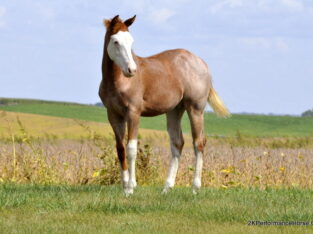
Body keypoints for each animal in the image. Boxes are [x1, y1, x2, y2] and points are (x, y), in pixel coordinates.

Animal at [98, 13, 230, 195]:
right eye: (116, 41)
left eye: (131, 41)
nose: (132, 70)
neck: (117, 81)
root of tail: (201, 63)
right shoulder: (113, 114)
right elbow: (120, 149)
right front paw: (124, 186)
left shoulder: (133, 113)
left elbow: (131, 149)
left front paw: (131, 187)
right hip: (175, 110)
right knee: (177, 143)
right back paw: (167, 187)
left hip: (195, 108)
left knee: (199, 143)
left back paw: (195, 188)